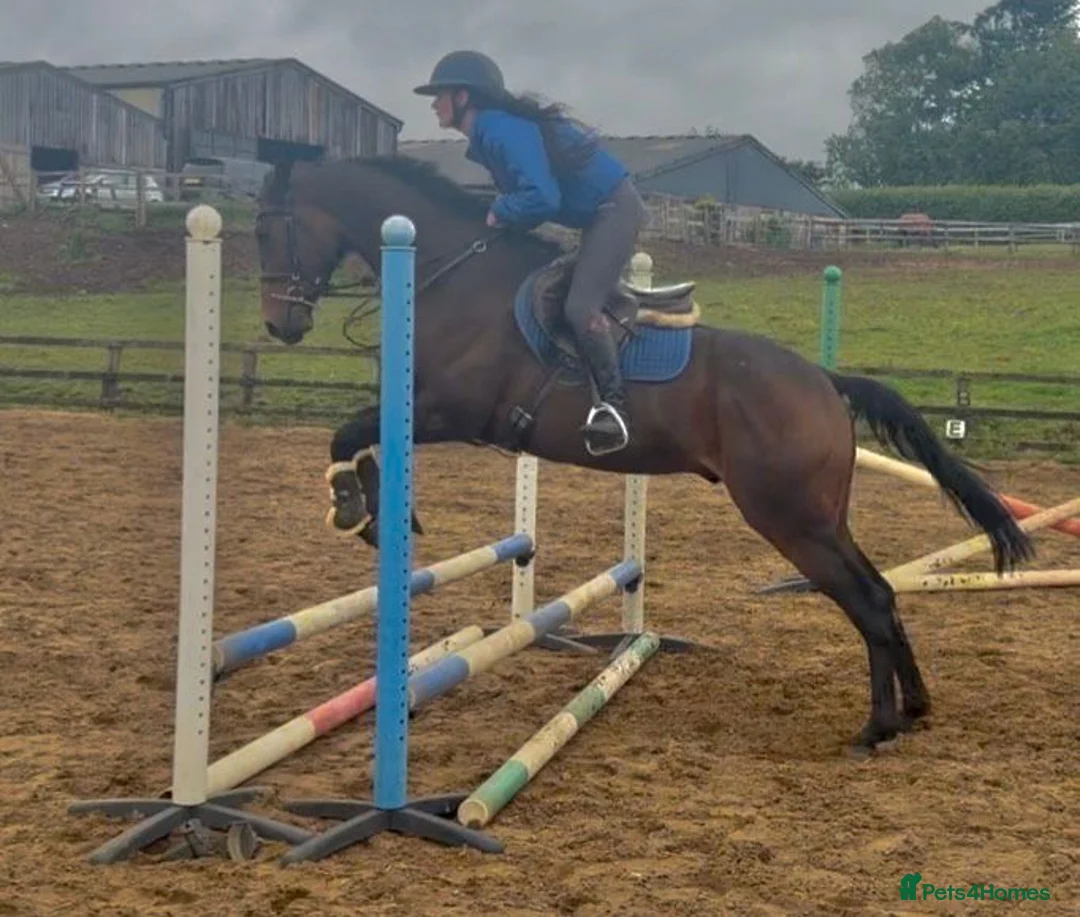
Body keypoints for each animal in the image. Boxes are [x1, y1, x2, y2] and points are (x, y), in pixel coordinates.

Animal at [253, 153, 1035, 755]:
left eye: (269, 228)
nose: (280, 325)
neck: (454, 273)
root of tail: (822, 380)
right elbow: (358, 436)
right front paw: (379, 513)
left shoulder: (453, 410)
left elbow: (349, 433)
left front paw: (361, 511)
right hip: (821, 516)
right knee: (882, 592)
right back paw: (916, 706)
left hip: (789, 518)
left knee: (869, 598)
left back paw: (879, 726)